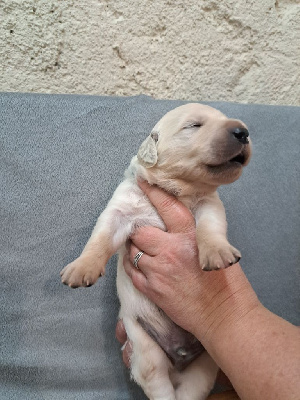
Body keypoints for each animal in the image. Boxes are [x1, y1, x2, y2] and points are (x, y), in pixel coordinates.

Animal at [60, 104, 251, 400]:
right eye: (194, 125)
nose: (243, 132)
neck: (178, 189)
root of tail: (180, 356)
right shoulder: (120, 209)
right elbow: (100, 237)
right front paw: (81, 268)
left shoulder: (210, 205)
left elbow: (211, 227)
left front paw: (218, 252)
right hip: (144, 345)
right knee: (157, 381)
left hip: (207, 361)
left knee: (191, 388)